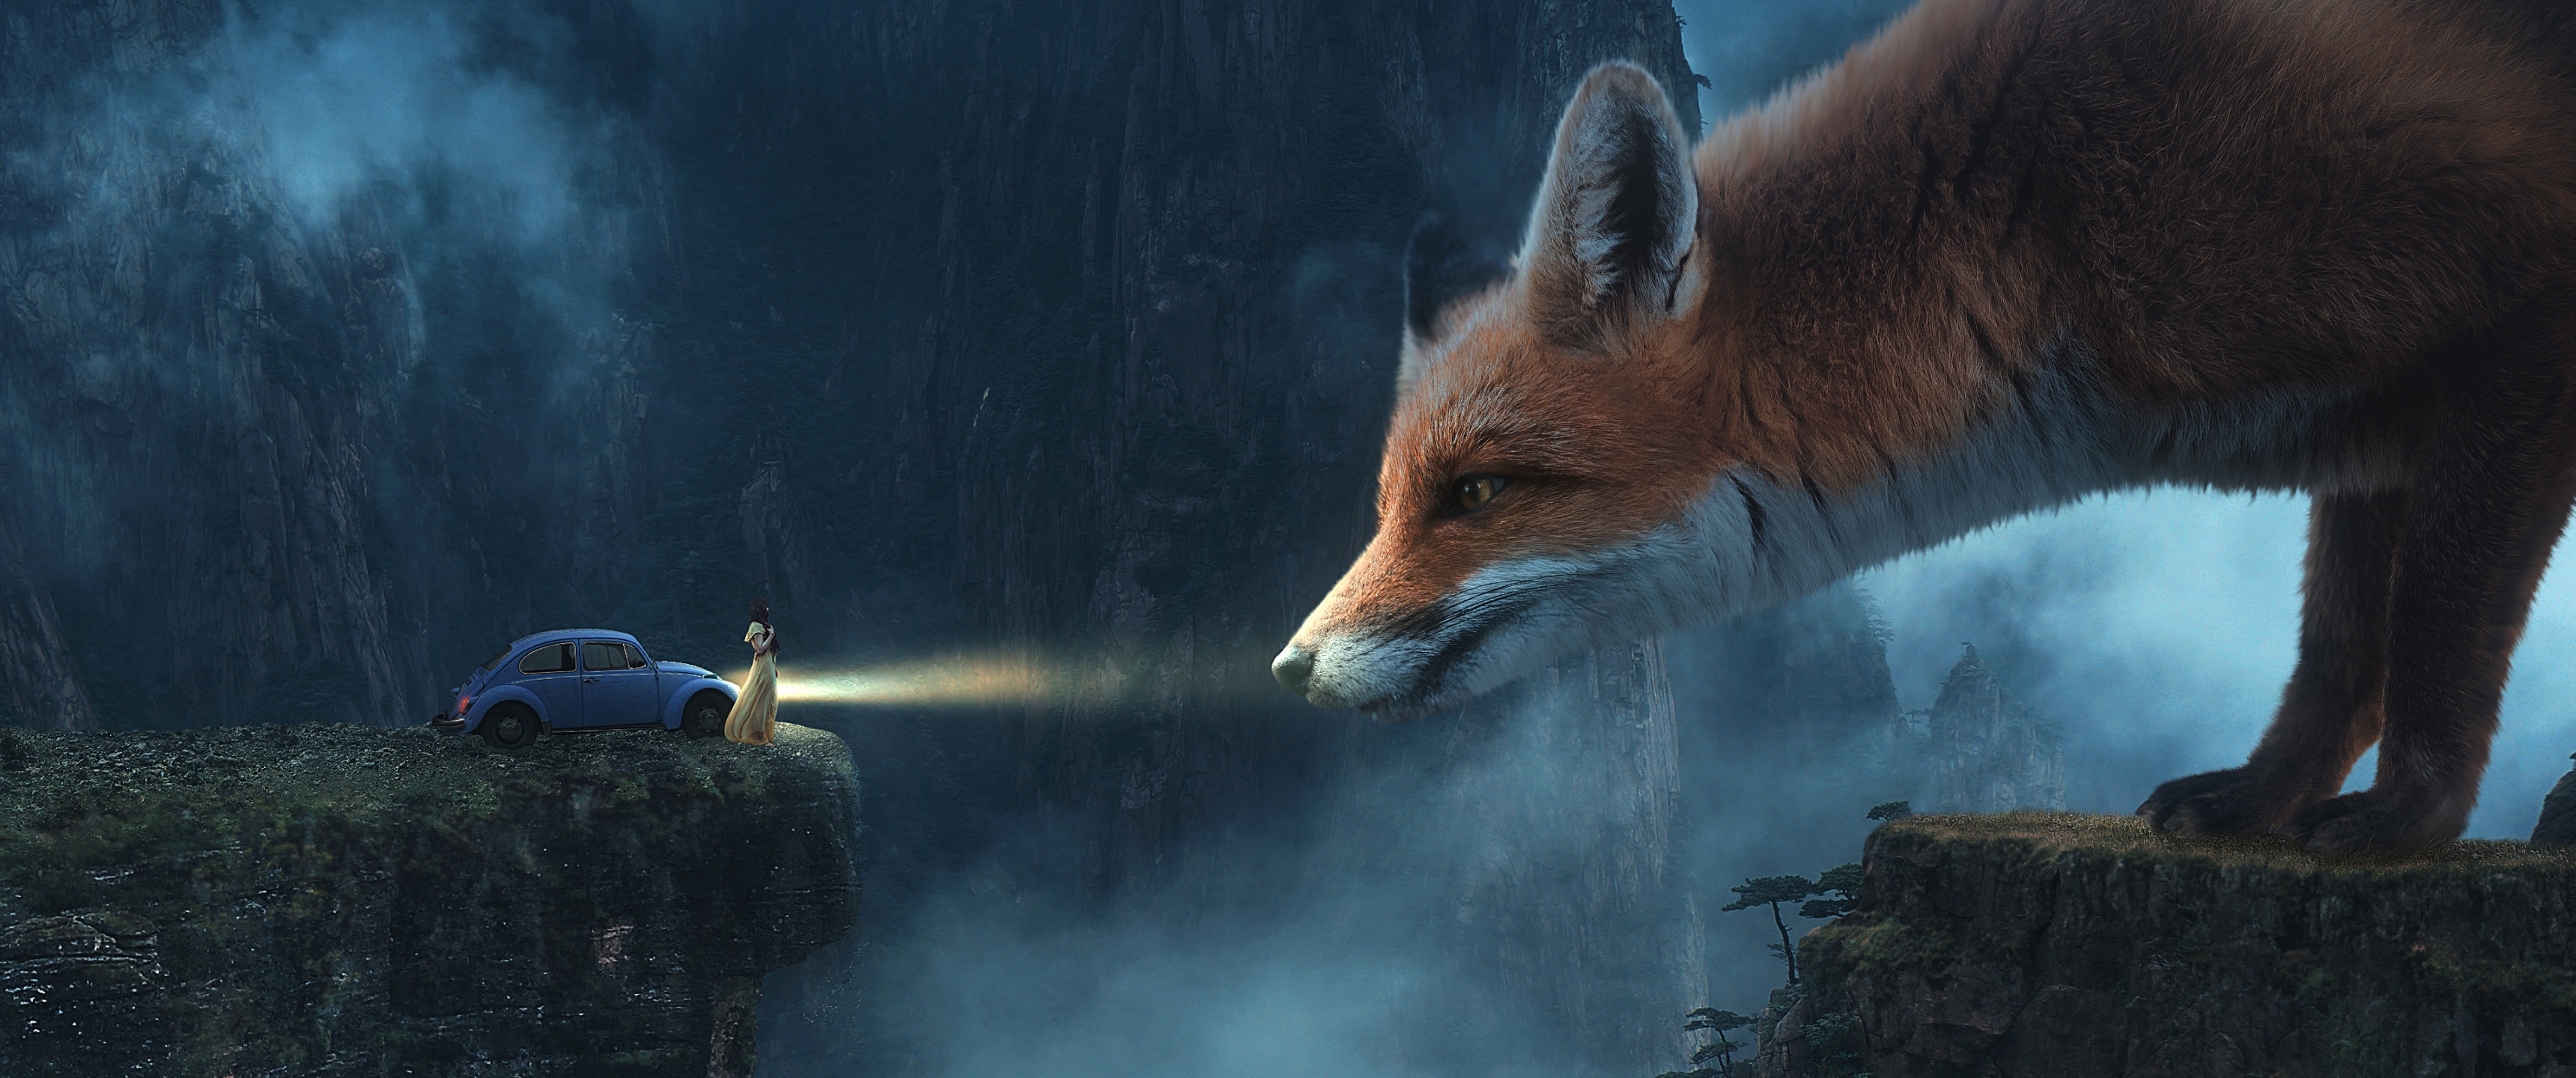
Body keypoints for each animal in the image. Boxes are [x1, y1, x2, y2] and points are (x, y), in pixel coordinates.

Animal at [1269, 0, 2576, 851]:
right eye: (1391, 504)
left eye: (1478, 493)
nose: (1289, 670)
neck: (2044, 219)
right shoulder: (2367, 427)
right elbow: (2340, 652)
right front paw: (2264, 801)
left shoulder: (2518, 312)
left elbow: (2436, 631)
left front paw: (2410, 820)